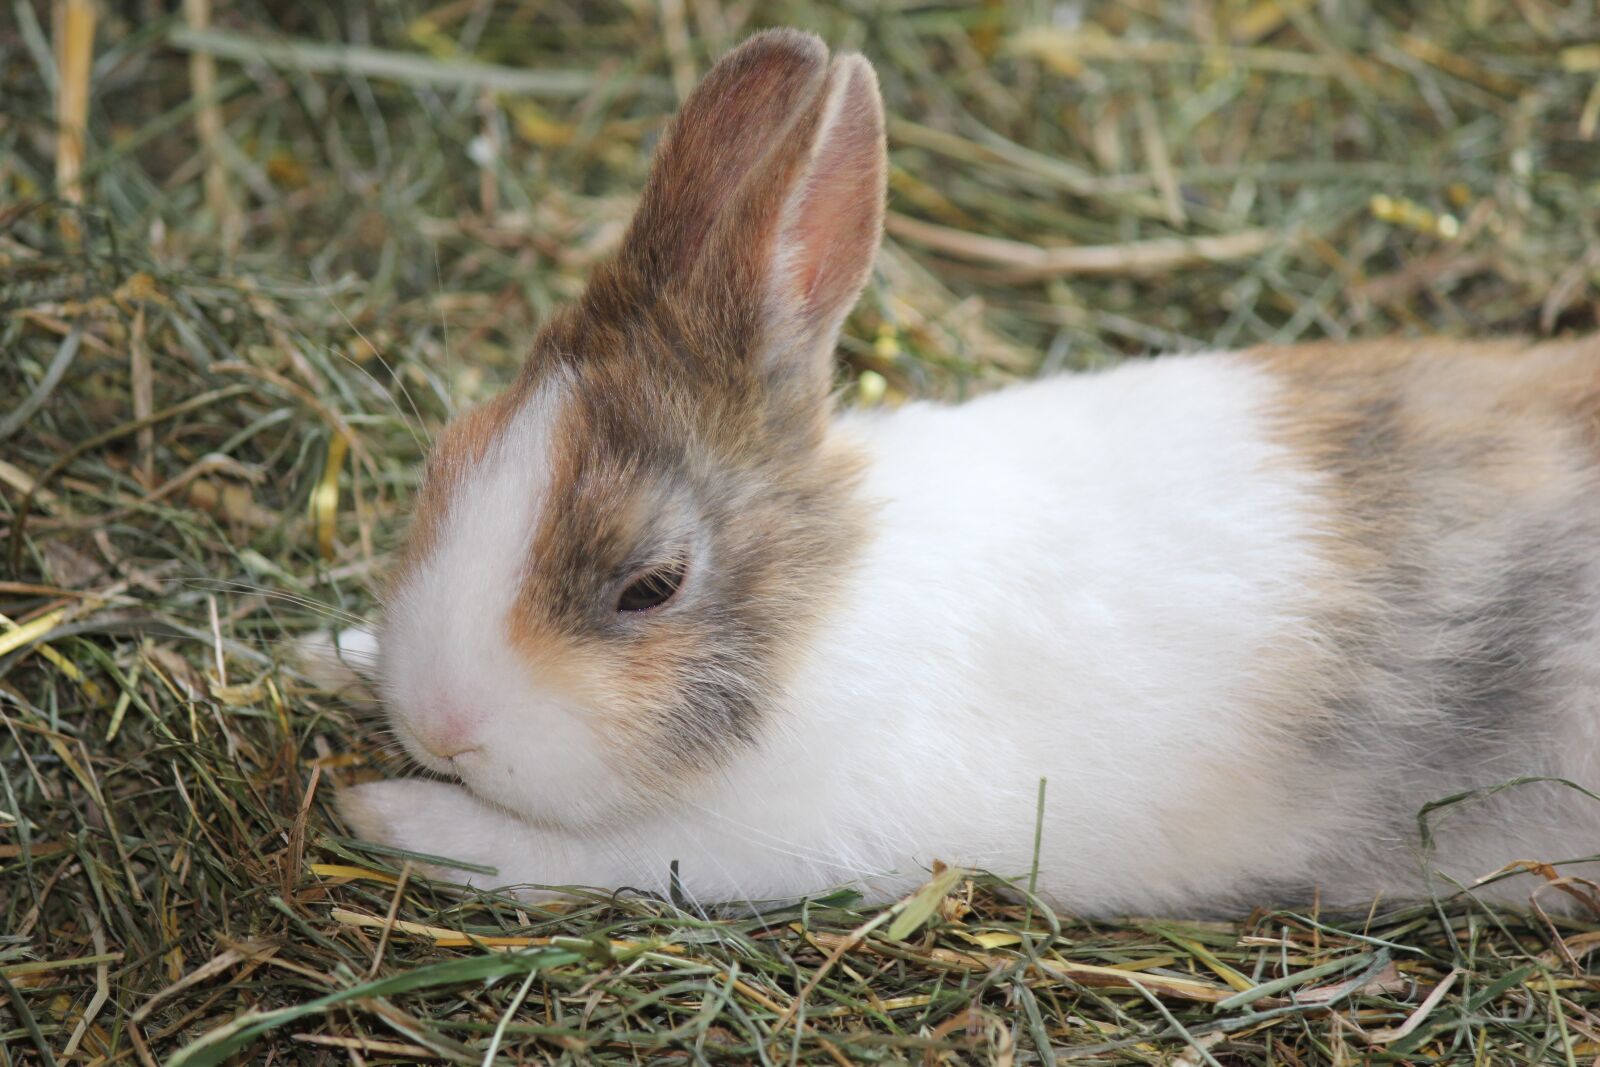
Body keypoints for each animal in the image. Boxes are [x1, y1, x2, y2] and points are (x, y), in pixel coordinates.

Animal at [337, 28, 1600, 917]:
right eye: (445, 462)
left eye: (649, 585)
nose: (440, 721)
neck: (829, 606)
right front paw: (333, 650)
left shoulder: (752, 837)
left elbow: (557, 852)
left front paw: (391, 807)